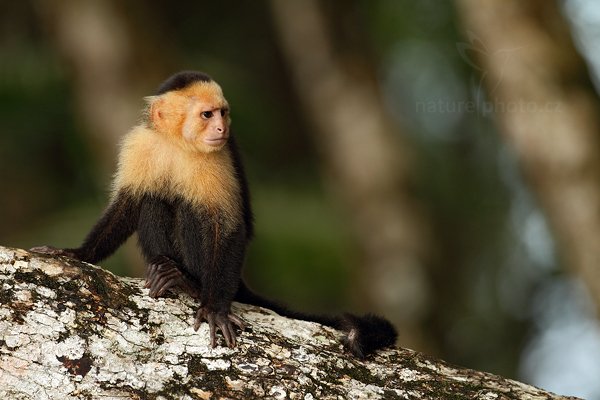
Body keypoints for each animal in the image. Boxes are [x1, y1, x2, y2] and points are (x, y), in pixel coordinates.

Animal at [32, 70, 398, 358]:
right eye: (207, 115)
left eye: (223, 113)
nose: (221, 128)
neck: (178, 144)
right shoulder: (141, 144)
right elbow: (128, 203)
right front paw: (76, 253)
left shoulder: (216, 160)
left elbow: (227, 226)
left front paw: (215, 309)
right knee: (155, 198)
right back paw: (168, 270)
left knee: (191, 210)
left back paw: (190, 283)